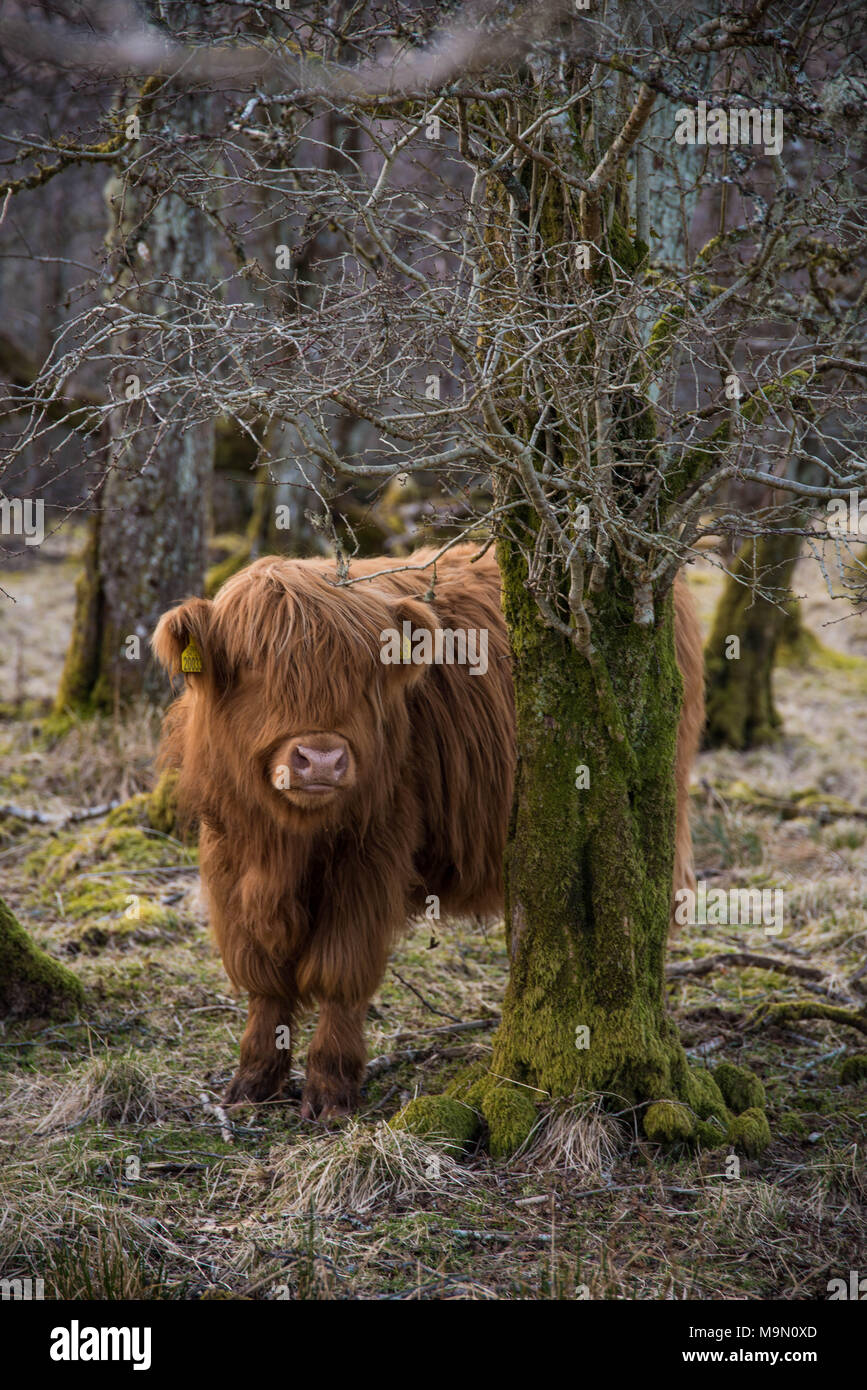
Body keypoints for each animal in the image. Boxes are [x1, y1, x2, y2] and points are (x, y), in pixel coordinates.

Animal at [152, 545, 704, 1120]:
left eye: (360, 675)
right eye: (254, 668)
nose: (321, 759)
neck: (286, 841)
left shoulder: (372, 854)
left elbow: (340, 971)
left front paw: (330, 1090)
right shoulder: (228, 852)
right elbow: (263, 975)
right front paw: (253, 1081)